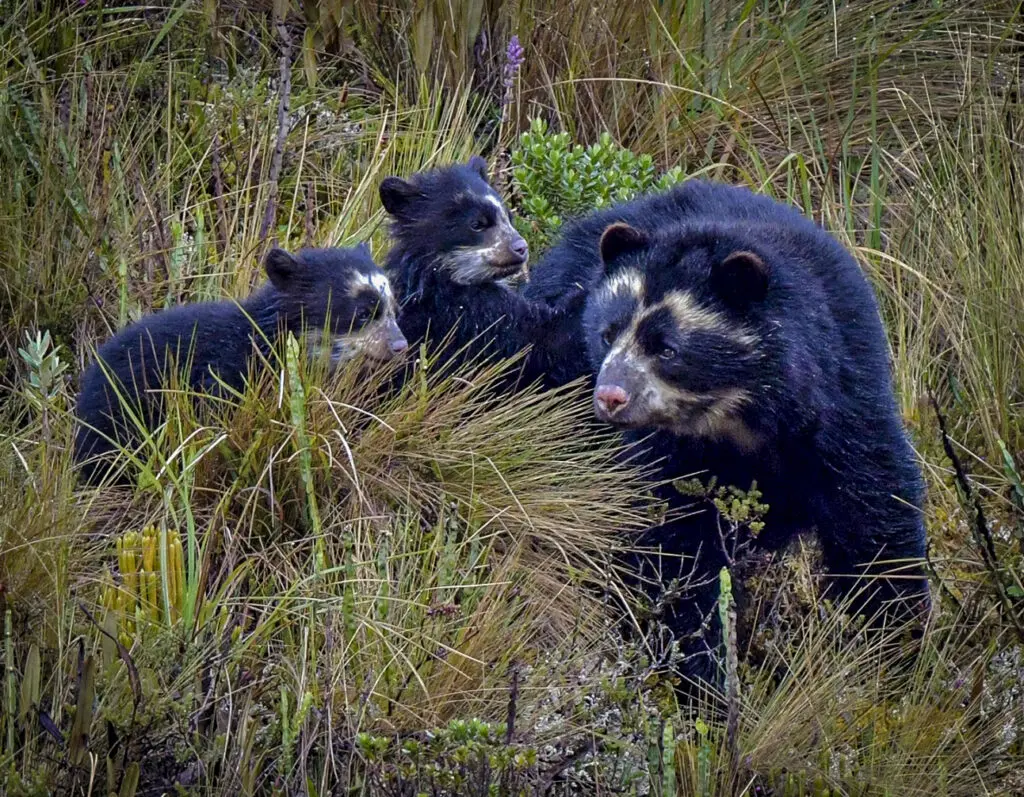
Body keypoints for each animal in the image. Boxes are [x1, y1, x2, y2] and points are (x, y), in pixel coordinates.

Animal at [376, 156, 589, 389]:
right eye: (477, 224)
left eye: (508, 216)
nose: (521, 247)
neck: (440, 276)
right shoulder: (469, 318)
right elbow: (542, 343)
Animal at [548, 180, 933, 684]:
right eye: (606, 333)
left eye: (667, 349)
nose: (611, 396)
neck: (742, 418)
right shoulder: (661, 456)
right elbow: (670, 550)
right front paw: (697, 668)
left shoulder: (844, 400)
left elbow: (875, 517)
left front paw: (897, 649)